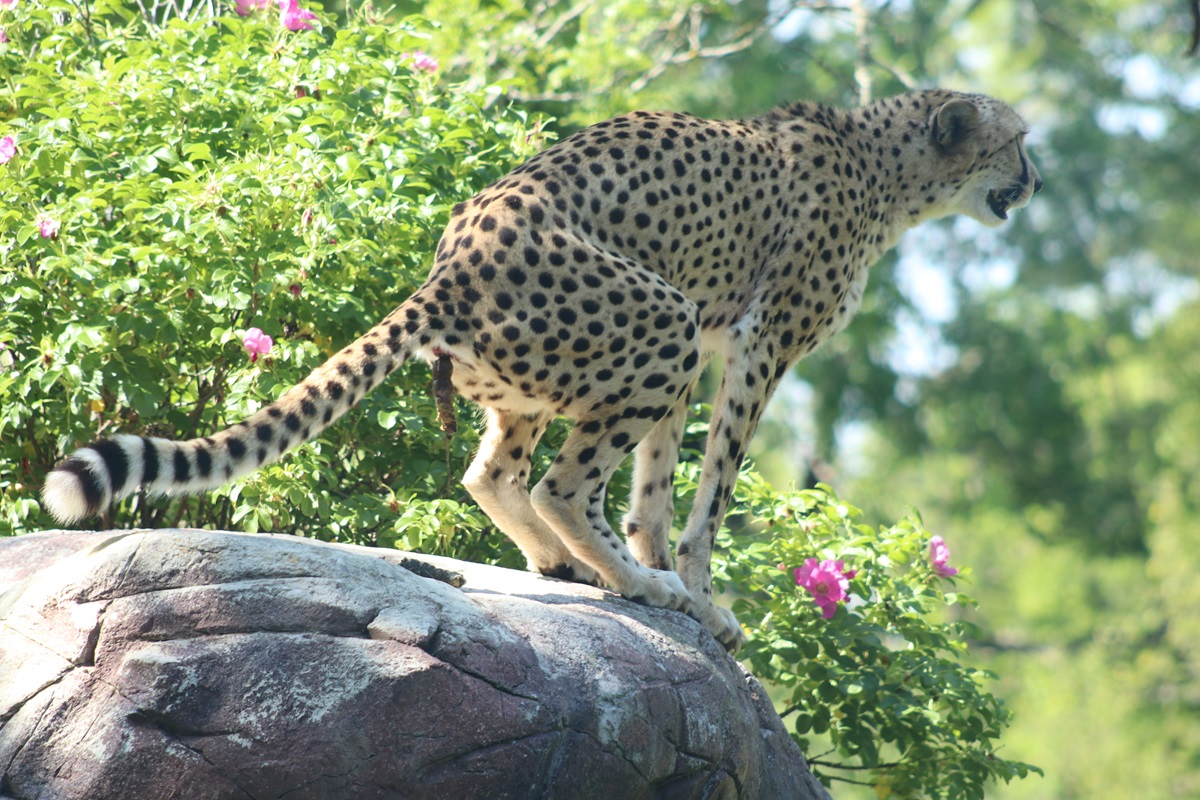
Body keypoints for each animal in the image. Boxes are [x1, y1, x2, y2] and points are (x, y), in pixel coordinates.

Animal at [42, 88, 1041, 651]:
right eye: (1017, 140)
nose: (1035, 183)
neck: (886, 168)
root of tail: (452, 259)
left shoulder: (717, 344)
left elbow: (654, 488)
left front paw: (661, 571)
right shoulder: (754, 349)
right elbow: (708, 496)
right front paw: (694, 592)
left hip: (564, 365)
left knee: (494, 471)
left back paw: (574, 567)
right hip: (661, 322)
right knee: (561, 481)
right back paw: (626, 581)